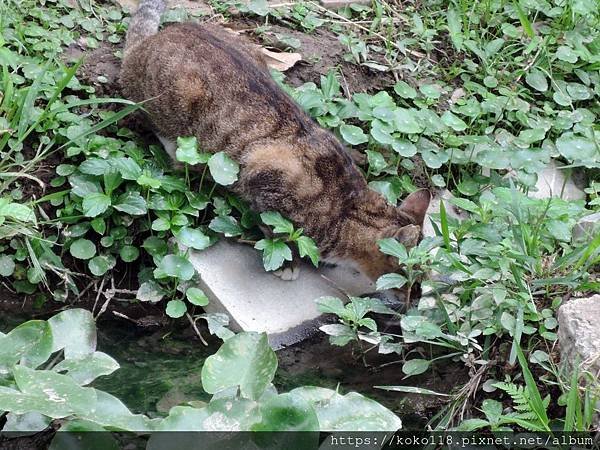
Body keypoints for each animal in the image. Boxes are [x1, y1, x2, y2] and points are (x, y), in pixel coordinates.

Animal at [120, 0, 432, 282]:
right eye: (411, 276)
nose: (414, 296)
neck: (347, 210)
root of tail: (150, 41)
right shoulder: (264, 178)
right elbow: (278, 232)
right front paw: (289, 263)